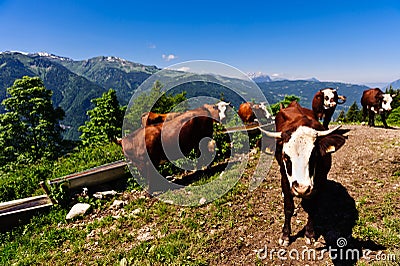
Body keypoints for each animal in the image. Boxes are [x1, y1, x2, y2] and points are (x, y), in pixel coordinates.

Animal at [260, 101, 346, 245]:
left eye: (314, 156)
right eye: (285, 157)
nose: (301, 189)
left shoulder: (320, 182)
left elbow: (313, 208)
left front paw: (310, 233)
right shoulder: (285, 178)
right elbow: (288, 208)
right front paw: (285, 235)